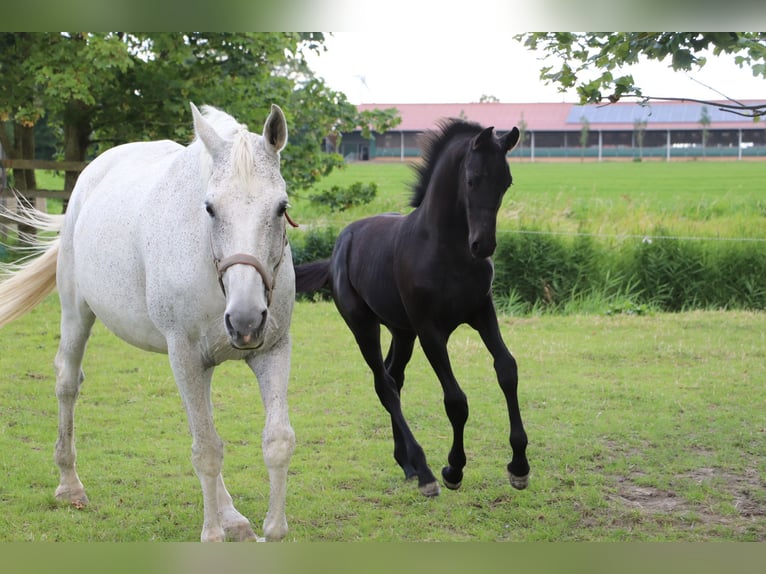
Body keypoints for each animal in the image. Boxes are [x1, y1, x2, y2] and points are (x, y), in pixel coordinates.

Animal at [0, 104, 296, 544]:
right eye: (209, 208)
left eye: (280, 206)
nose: (245, 320)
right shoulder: (186, 354)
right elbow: (207, 451)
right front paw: (212, 534)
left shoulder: (271, 350)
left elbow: (276, 440)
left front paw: (270, 529)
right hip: (77, 312)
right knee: (67, 382)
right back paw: (69, 485)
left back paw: (232, 515)